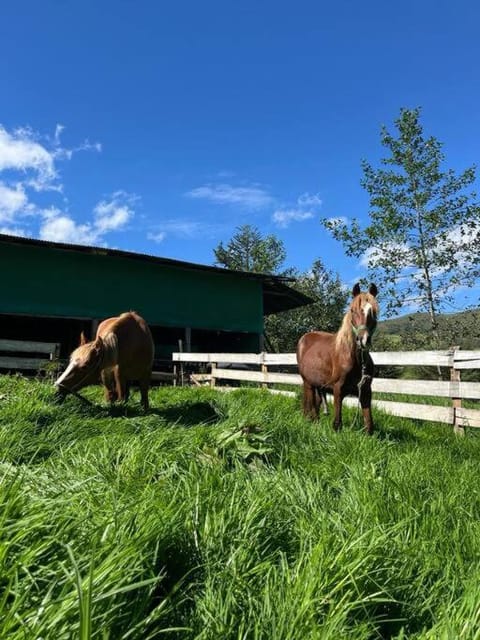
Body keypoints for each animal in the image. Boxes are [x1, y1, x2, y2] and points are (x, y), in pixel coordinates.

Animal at [296, 284, 378, 436]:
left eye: (373, 311)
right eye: (352, 310)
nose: (363, 340)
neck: (355, 359)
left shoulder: (365, 390)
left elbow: (369, 424)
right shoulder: (338, 389)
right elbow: (337, 423)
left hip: (318, 384)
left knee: (316, 405)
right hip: (308, 383)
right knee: (310, 405)